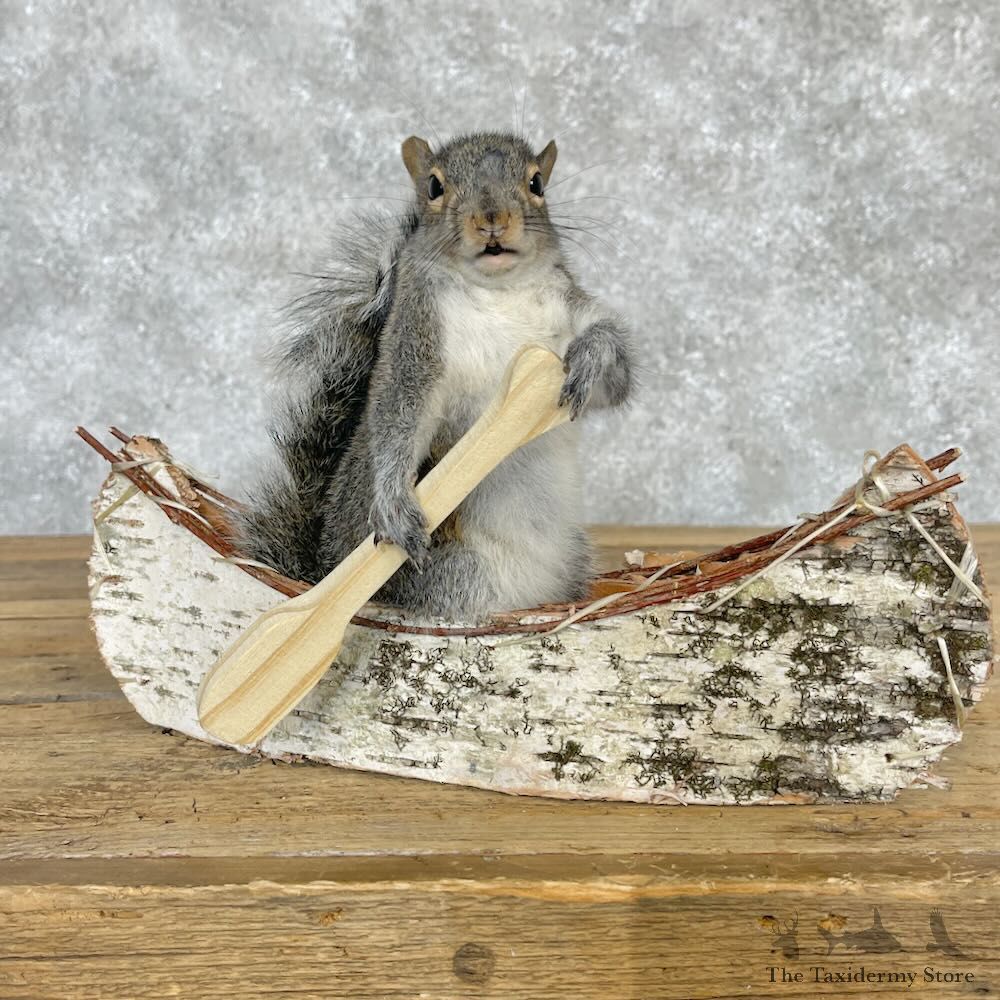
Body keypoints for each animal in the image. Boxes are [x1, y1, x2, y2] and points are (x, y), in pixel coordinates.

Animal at [231, 131, 635, 621]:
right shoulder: (414, 339)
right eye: (435, 187)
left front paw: (593, 355)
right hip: (455, 576)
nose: (492, 220)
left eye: (537, 182)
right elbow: (398, 414)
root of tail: (320, 570)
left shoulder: (569, 309)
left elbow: (616, 380)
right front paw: (393, 501)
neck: (498, 291)